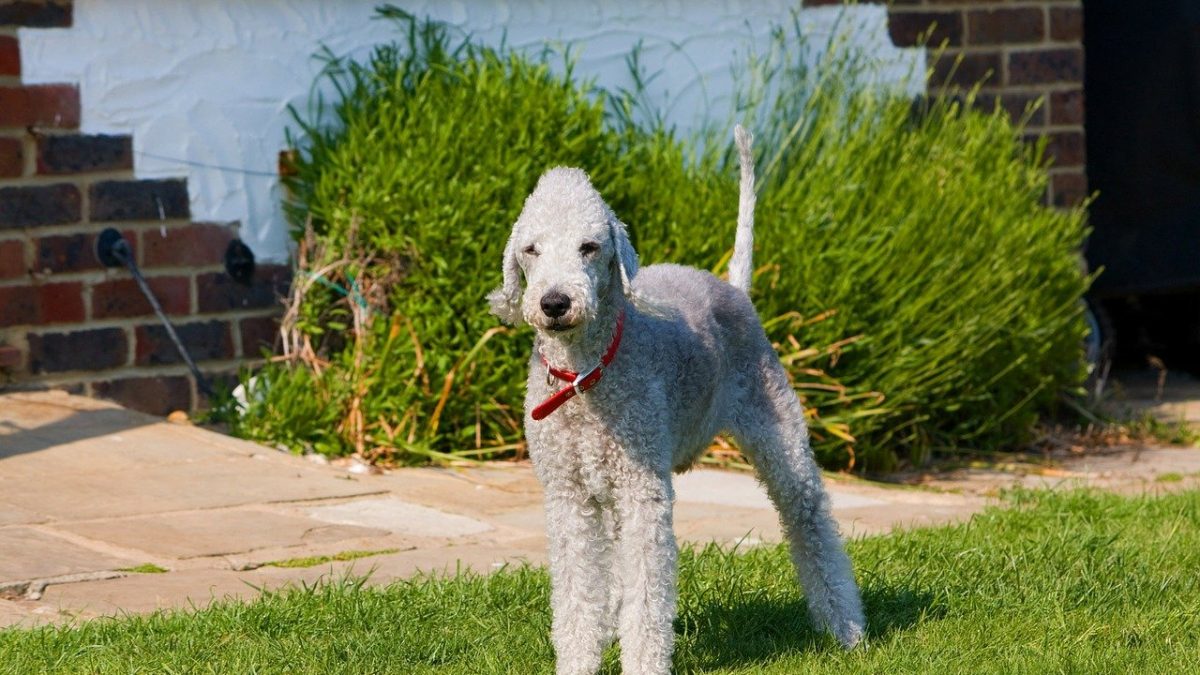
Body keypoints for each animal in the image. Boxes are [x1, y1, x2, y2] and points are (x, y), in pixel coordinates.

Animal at [487, 127, 864, 672]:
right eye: (531, 250)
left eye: (589, 247)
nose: (554, 302)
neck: (585, 376)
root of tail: (732, 288)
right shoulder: (568, 495)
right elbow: (578, 593)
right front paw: (579, 660)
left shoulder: (643, 490)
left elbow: (647, 596)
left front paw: (644, 662)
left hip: (779, 433)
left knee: (810, 519)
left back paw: (847, 629)